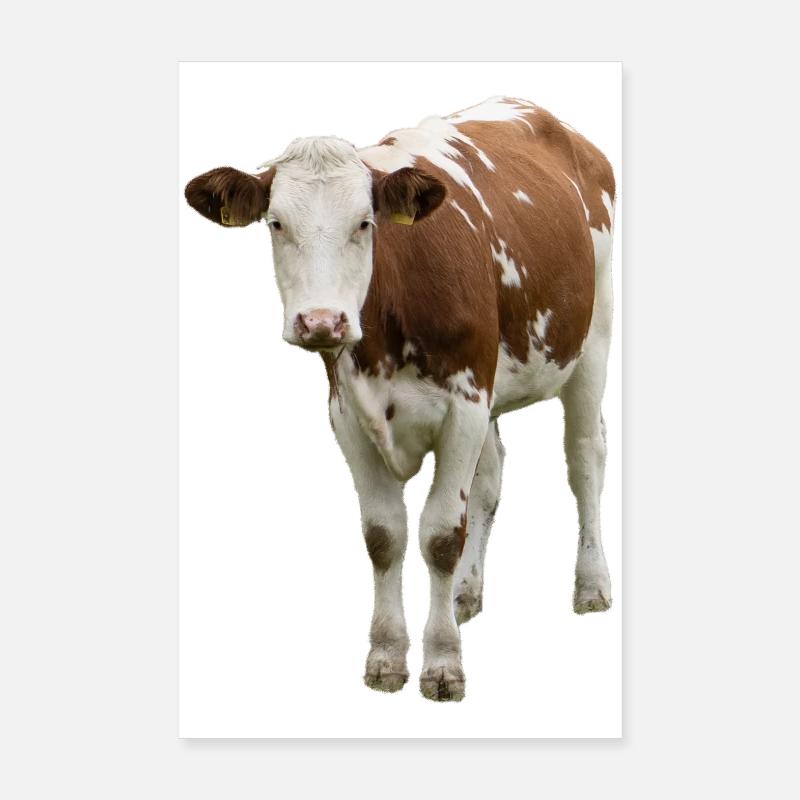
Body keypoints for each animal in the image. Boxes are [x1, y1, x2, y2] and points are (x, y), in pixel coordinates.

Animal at [184, 96, 616, 702]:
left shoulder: (464, 405)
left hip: (592, 338)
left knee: (585, 459)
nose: (322, 321)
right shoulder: (347, 414)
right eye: (276, 223)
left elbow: (440, 534)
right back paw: (464, 593)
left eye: (365, 223)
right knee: (491, 477)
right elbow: (384, 536)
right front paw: (387, 655)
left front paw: (443, 664)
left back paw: (592, 583)